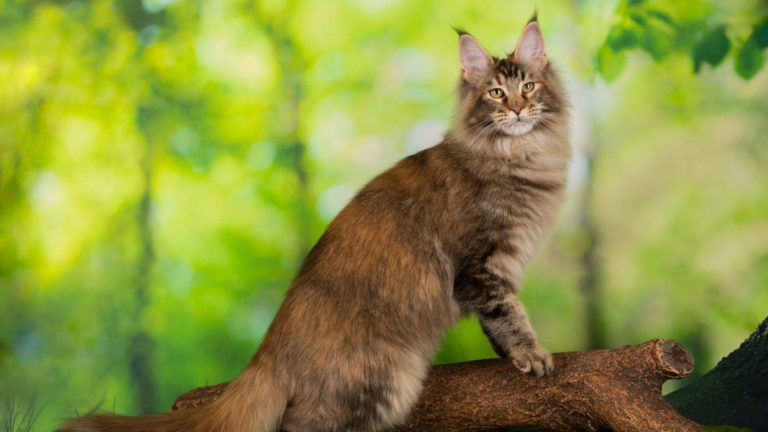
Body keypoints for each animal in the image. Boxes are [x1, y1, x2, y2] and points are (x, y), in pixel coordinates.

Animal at [57, 15, 568, 432]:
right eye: (496, 93)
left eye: (529, 88)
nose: (517, 109)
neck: (518, 155)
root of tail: (268, 349)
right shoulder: (479, 267)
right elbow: (508, 314)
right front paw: (532, 354)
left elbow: (497, 322)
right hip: (380, 384)